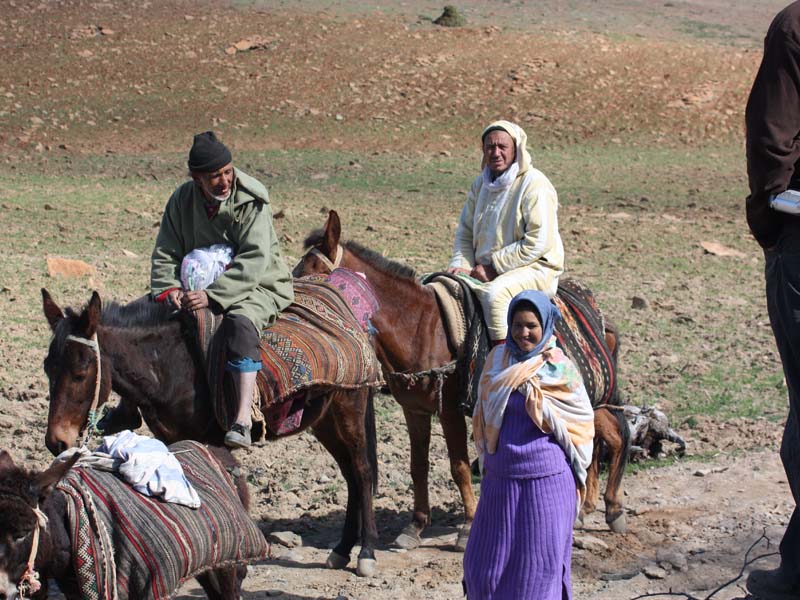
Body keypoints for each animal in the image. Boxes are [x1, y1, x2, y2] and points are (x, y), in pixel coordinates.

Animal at [39, 290, 382, 576]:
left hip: (349, 410)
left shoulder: (213, 443)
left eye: (81, 372)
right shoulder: (172, 439)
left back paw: (366, 553)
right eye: (47, 368)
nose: (57, 441)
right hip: (325, 421)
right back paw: (341, 551)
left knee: (362, 472)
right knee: (350, 476)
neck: (169, 366)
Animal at [294, 209, 632, 552]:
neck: (421, 328)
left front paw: (468, 527)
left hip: (587, 397)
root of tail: (599, 317)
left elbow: (458, 466)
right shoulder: (414, 410)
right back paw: (588, 508)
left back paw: (613, 509)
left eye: (312, 275)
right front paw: (415, 526)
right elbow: (418, 466)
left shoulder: (450, 411)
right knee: (600, 439)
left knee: (617, 437)